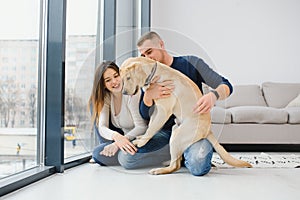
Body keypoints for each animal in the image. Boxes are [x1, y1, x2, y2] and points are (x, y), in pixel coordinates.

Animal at [119, 56, 251, 175]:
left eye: (129, 77)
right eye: (122, 79)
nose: (124, 92)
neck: (154, 73)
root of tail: (208, 130)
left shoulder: (163, 111)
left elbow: (152, 128)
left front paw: (141, 142)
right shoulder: (157, 109)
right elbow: (151, 125)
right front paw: (142, 137)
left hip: (177, 136)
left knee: (175, 165)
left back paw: (159, 170)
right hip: (175, 130)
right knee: (177, 160)